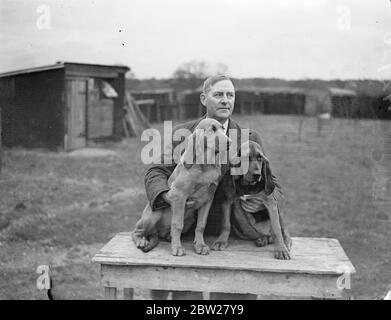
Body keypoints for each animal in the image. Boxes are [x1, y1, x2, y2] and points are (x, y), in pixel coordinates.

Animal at [132, 119, 230, 256]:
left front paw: (200, 245)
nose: (229, 142)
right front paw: (177, 248)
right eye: (212, 129)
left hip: (190, 219)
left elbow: (201, 225)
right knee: (136, 231)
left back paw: (169, 237)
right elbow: (177, 224)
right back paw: (141, 240)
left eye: (223, 128)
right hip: (152, 216)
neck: (205, 167)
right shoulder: (179, 196)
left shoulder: (208, 199)